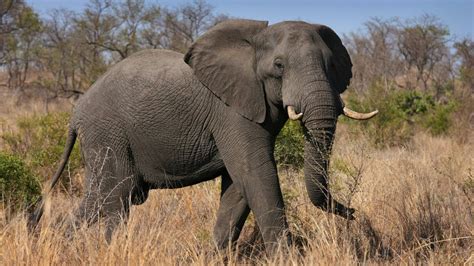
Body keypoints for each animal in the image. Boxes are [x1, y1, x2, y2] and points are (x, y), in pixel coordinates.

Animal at [28, 19, 378, 254]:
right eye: (279, 66)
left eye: (331, 65)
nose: (353, 213)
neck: (254, 40)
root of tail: (76, 112)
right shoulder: (231, 110)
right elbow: (257, 173)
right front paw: (288, 257)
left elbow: (238, 186)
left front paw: (216, 256)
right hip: (108, 133)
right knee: (115, 195)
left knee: (106, 197)